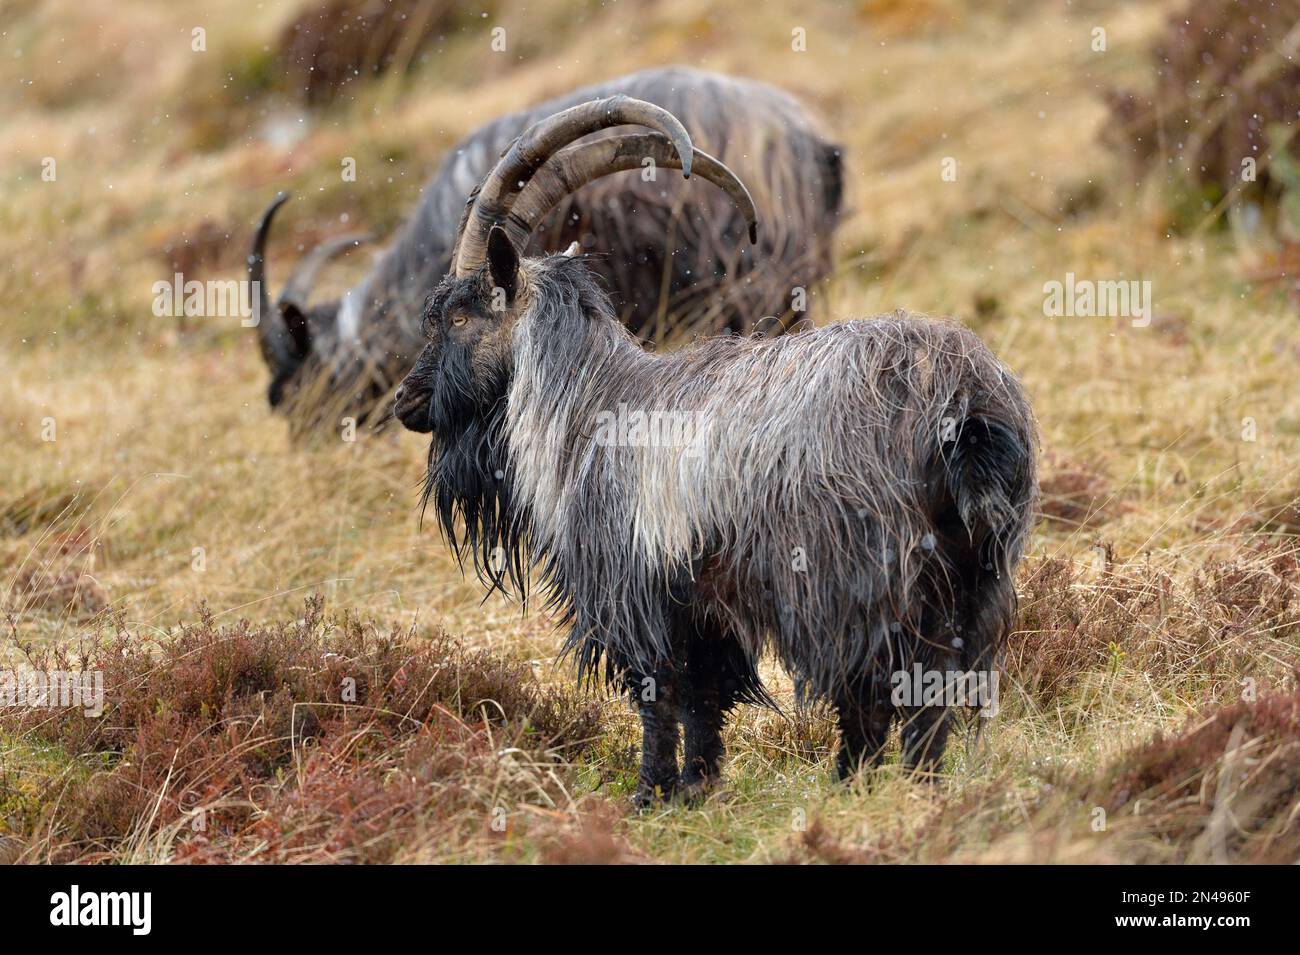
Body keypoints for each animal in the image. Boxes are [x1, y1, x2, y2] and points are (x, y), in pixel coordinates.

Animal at [393, 98, 1037, 804]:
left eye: (458, 315)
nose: (406, 400)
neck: (590, 402)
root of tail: (962, 399)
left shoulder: (633, 589)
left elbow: (658, 695)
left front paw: (648, 796)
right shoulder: (703, 608)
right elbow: (707, 698)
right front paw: (695, 790)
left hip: (850, 575)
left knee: (872, 687)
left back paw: (851, 784)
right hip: (977, 578)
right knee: (939, 688)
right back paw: (921, 787)